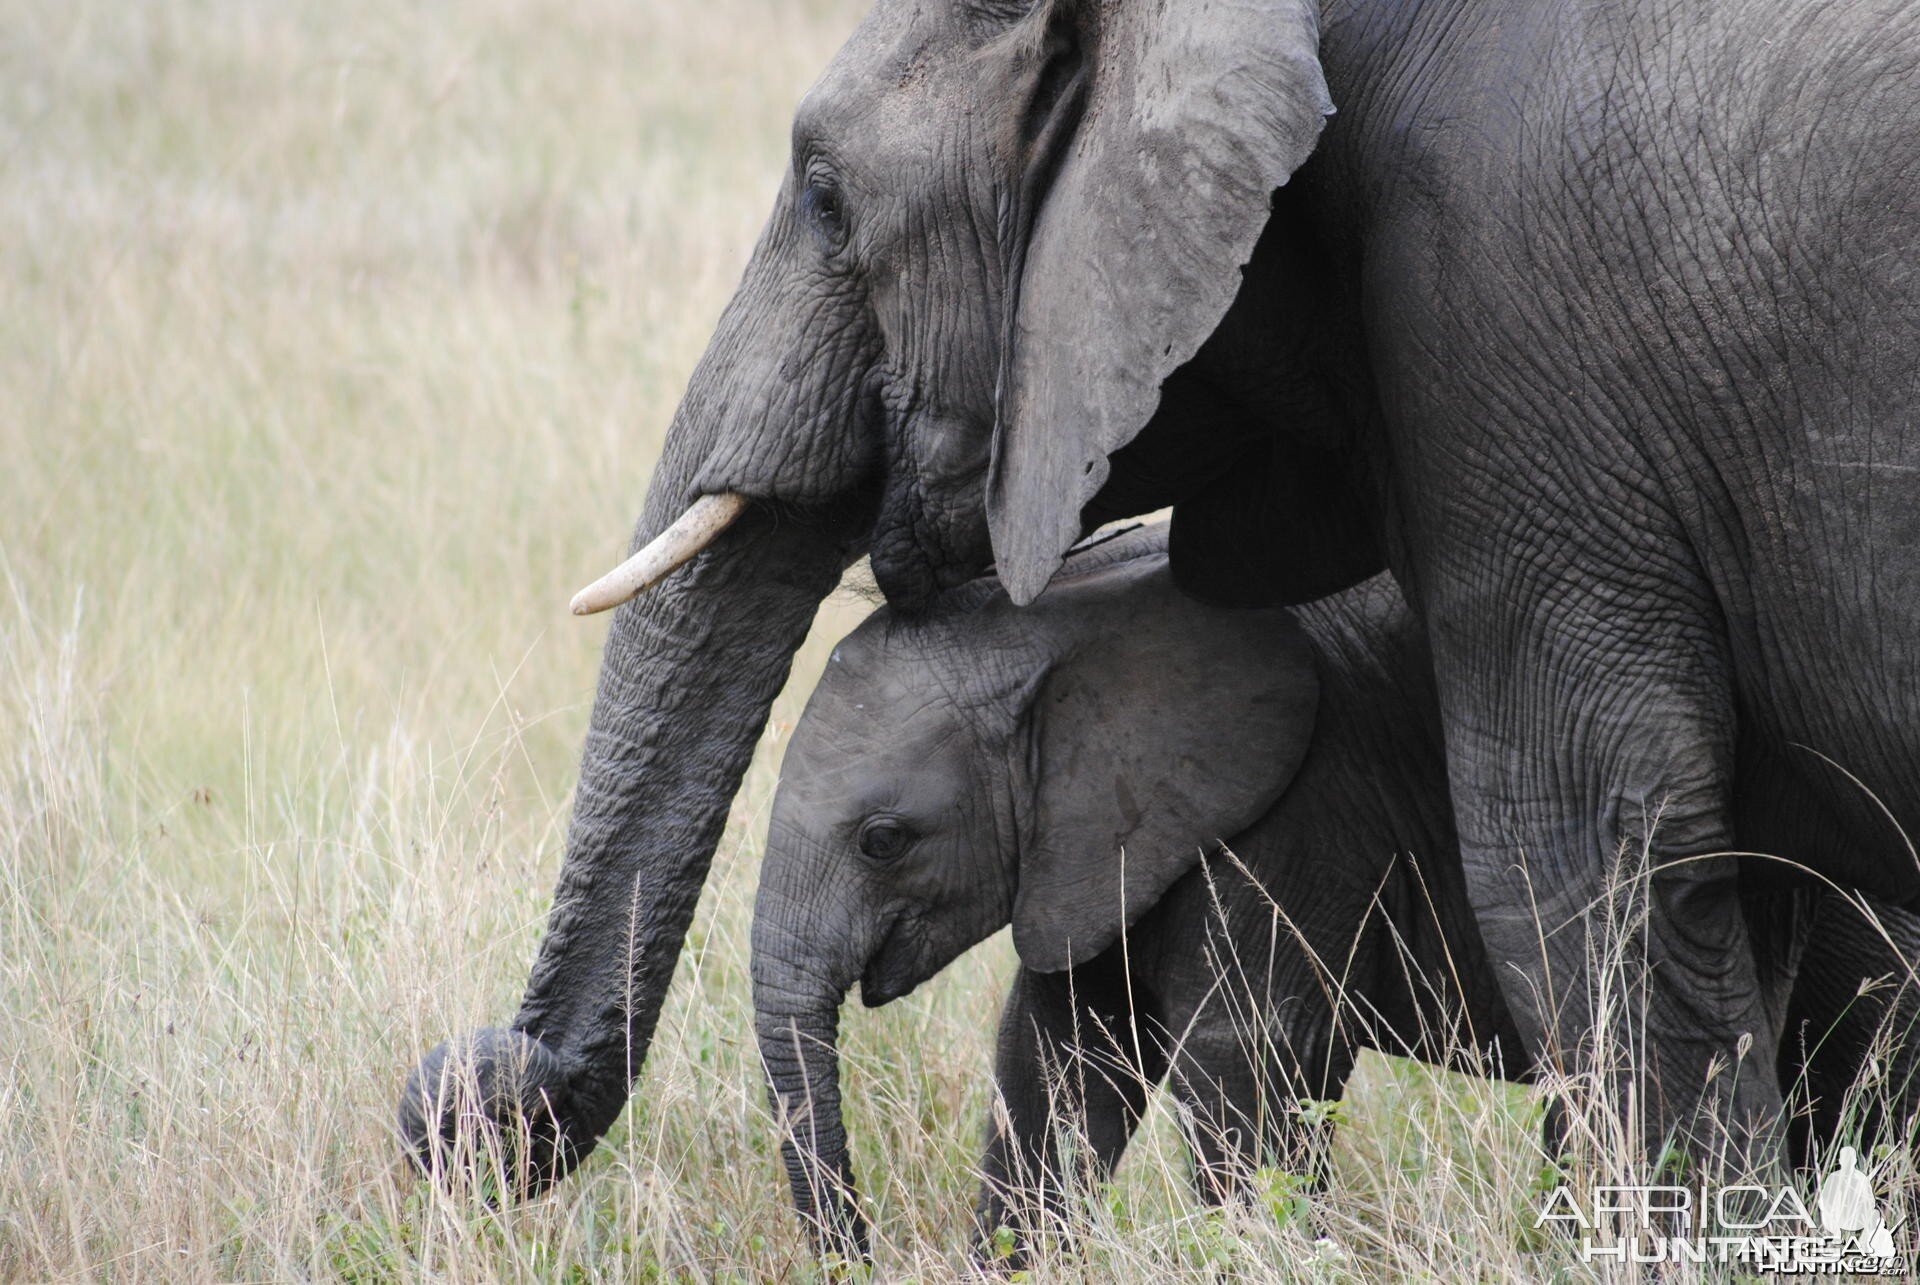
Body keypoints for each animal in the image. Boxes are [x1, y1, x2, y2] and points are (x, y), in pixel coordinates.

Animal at [752, 522, 1920, 1260]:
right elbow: (1056, 1064)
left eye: (884, 840)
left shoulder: (1294, 813)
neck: (1057, 621)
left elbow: (1247, 1061)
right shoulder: (1087, 846)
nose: (857, 1249)